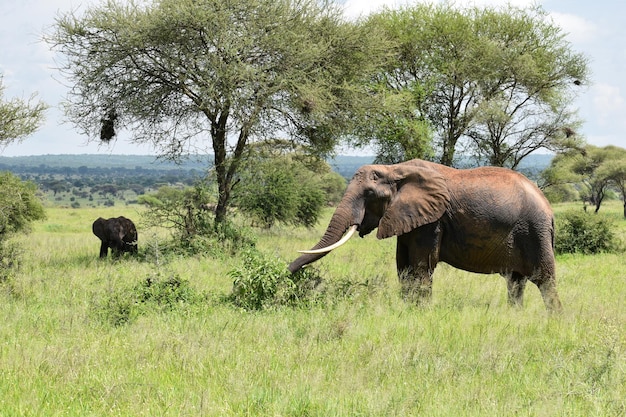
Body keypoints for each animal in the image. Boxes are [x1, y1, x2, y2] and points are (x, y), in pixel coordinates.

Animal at [288, 159, 560, 312]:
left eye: (369, 194)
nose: (286, 273)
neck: (395, 169)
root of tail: (547, 206)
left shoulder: (432, 221)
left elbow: (421, 266)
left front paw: (421, 313)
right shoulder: (408, 219)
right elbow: (403, 267)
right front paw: (408, 311)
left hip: (533, 230)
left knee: (544, 280)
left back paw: (554, 319)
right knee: (515, 282)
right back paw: (515, 316)